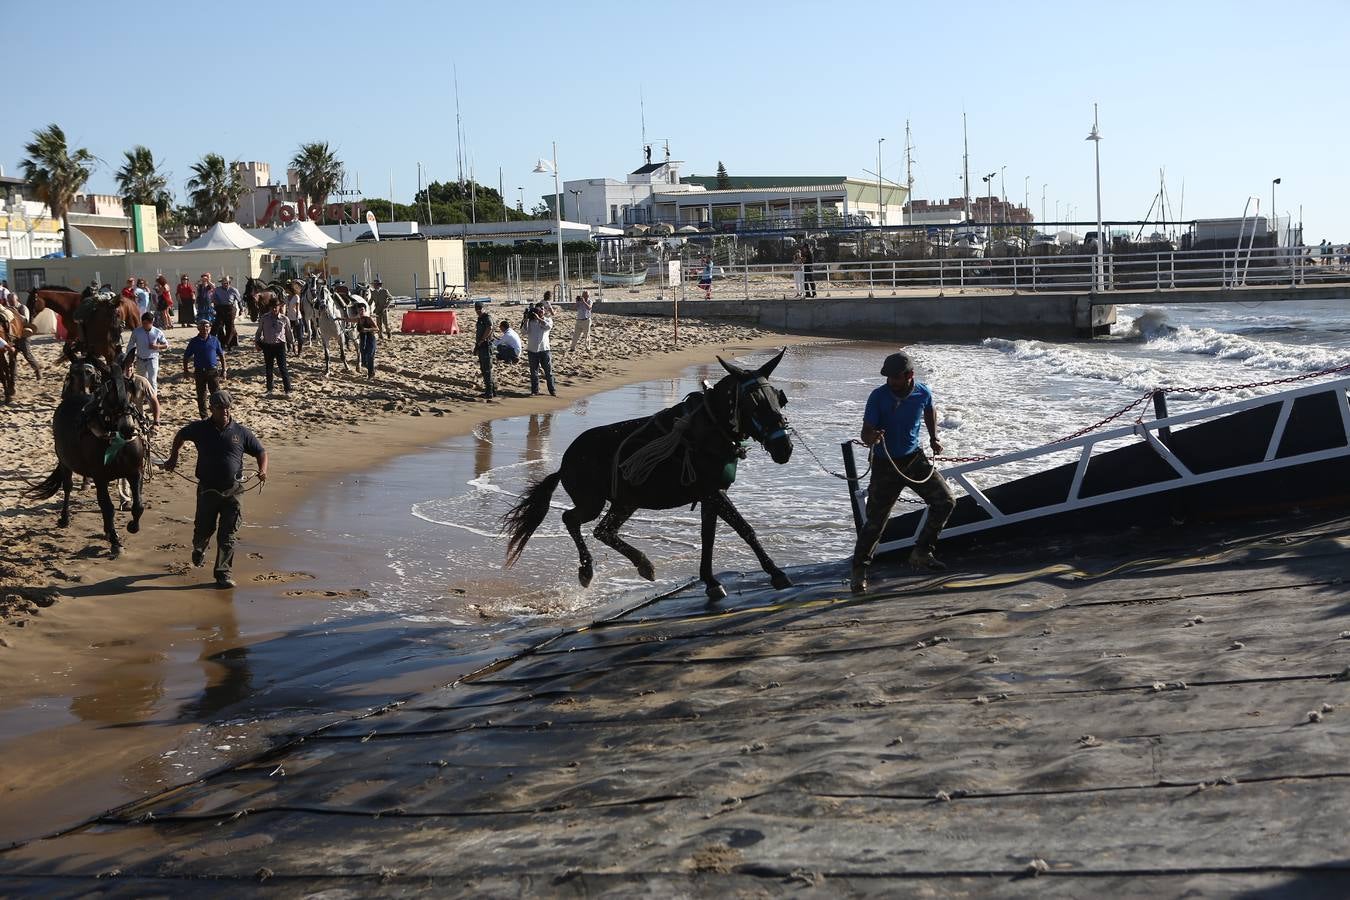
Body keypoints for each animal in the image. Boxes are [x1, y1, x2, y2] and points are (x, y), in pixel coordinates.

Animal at [28, 356, 148, 555]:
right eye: (110, 392)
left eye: (131, 388)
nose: (128, 428)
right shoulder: (100, 477)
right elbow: (107, 507)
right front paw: (115, 541)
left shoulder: (134, 472)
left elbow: (138, 505)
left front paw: (132, 526)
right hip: (64, 461)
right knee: (67, 487)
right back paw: (65, 518)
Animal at [504, 350, 788, 599]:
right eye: (753, 404)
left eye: (778, 398)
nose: (785, 447)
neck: (707, 431)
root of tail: (565, 462)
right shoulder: (712, 492)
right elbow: (745, 529)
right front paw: (775, 572)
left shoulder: (710, 497)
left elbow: (709, 538)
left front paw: (710, 580)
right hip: (593, 503)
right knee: (572, 520)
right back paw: (589, 569)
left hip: (626, 501)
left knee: (603, 531)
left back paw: (640, 564)